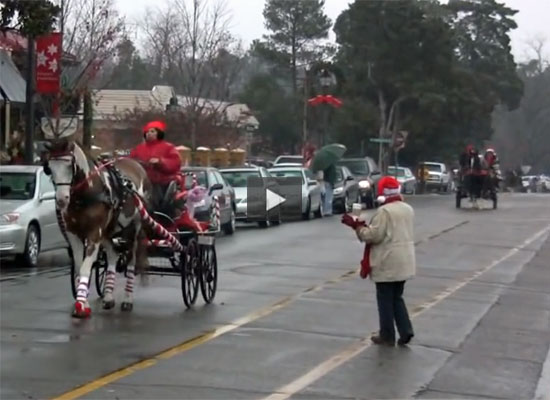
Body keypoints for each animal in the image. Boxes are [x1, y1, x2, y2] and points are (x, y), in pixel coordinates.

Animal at [43, 139, 153, 318]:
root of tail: (137, 165)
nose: (61, 199)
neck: (85, 194)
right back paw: (108, 296)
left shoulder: (95, 233)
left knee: (131, 261)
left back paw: (127, 300)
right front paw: (83, 300)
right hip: (109, 230)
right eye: (49, 168)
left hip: (134, 229)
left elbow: (86, 267)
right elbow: (79, 268)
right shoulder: (73, 234)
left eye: (69, 165)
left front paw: (81, 305)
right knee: (113, 256)